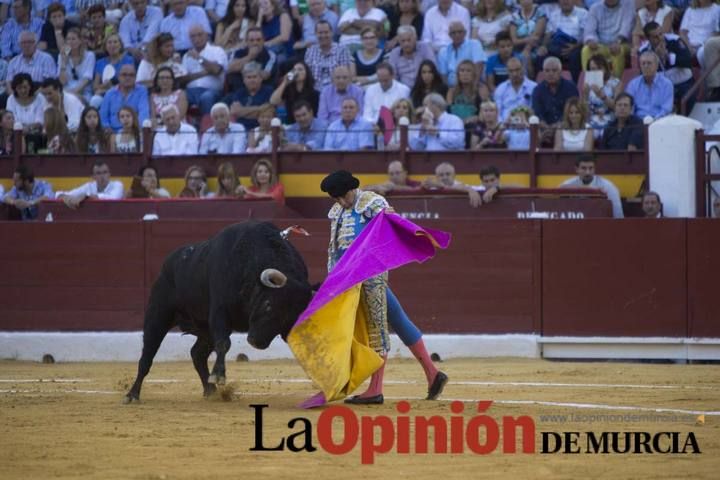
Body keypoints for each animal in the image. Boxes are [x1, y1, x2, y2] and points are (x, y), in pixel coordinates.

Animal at [123, 220, 312, 402]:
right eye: (267, 304)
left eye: (291, 319)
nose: (256, 342)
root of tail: (168, 263)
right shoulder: (219, 313)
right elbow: (223, 343)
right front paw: (219, 376)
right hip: (158, 315)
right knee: (147, 355)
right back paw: (132, 394)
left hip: (204, 330)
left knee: (197, 354)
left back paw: (210, 390)